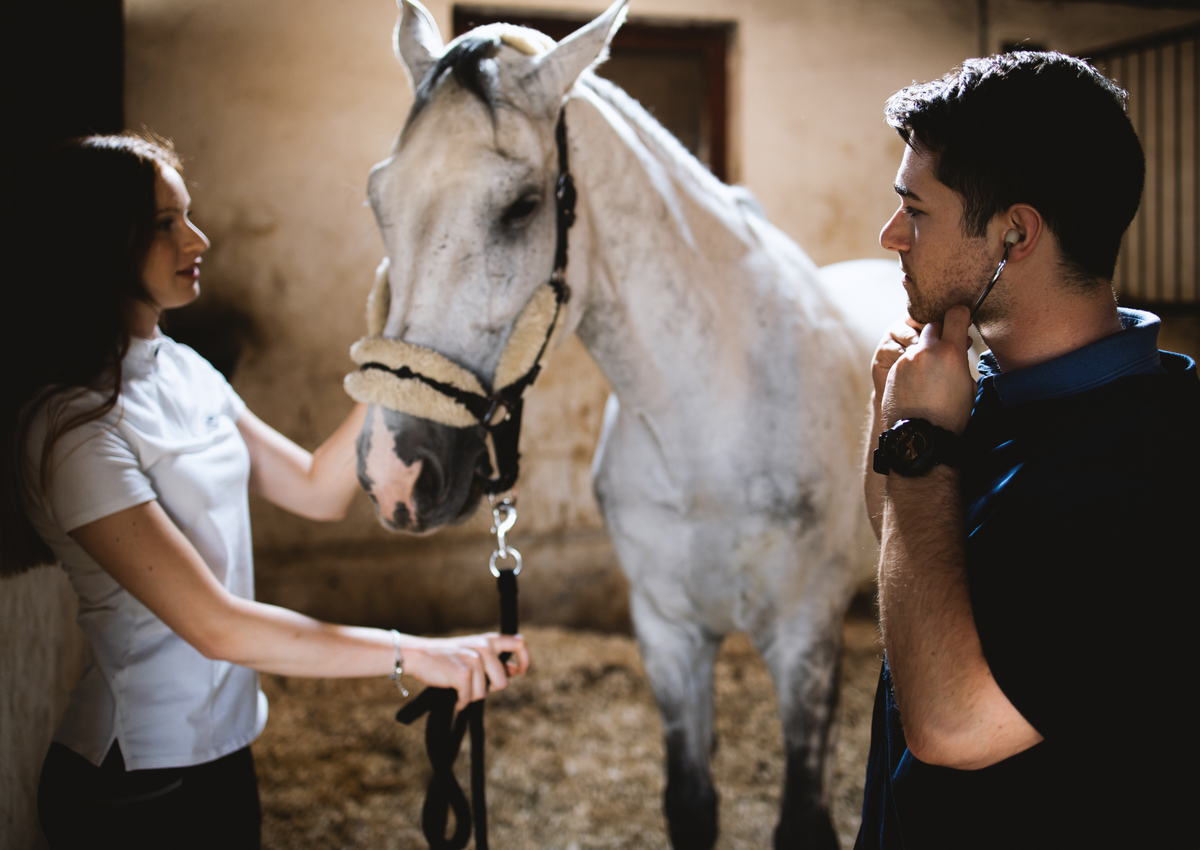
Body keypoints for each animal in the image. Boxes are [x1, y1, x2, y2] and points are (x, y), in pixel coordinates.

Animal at [348, 2, 903, 846]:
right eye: (380, 198)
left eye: (521, 205)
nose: (394, 472)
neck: (709, 424)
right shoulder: (669, 635)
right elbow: (691, 803)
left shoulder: (803, 639)